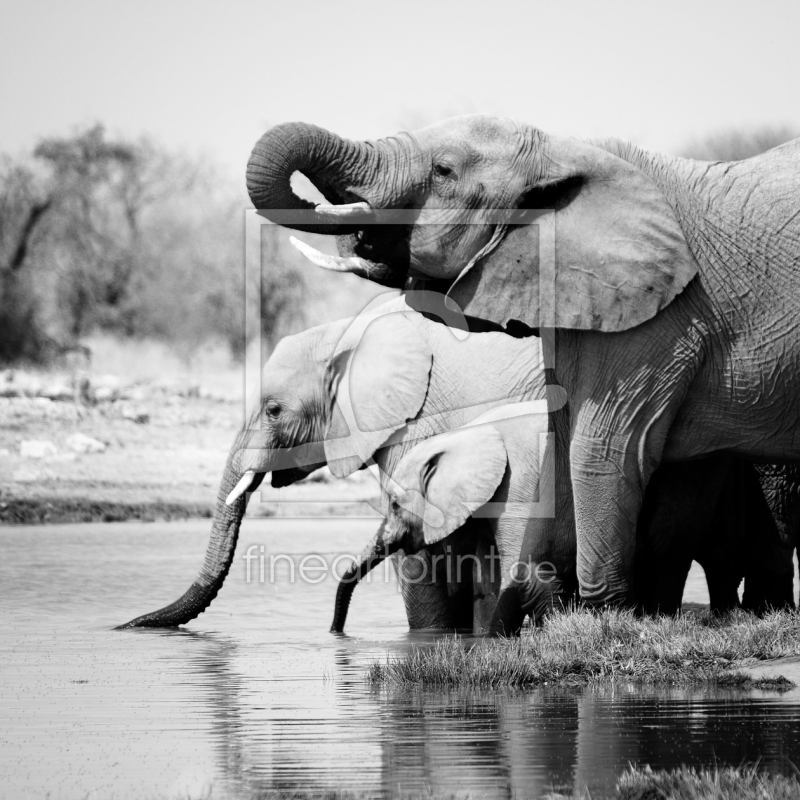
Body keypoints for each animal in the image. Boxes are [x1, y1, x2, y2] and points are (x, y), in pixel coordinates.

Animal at [245, 114, 800, 608]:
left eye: (443, 171)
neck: (566, 150)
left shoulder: (662, 320)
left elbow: (601, 451)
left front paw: (603, 619)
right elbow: (562, 437)